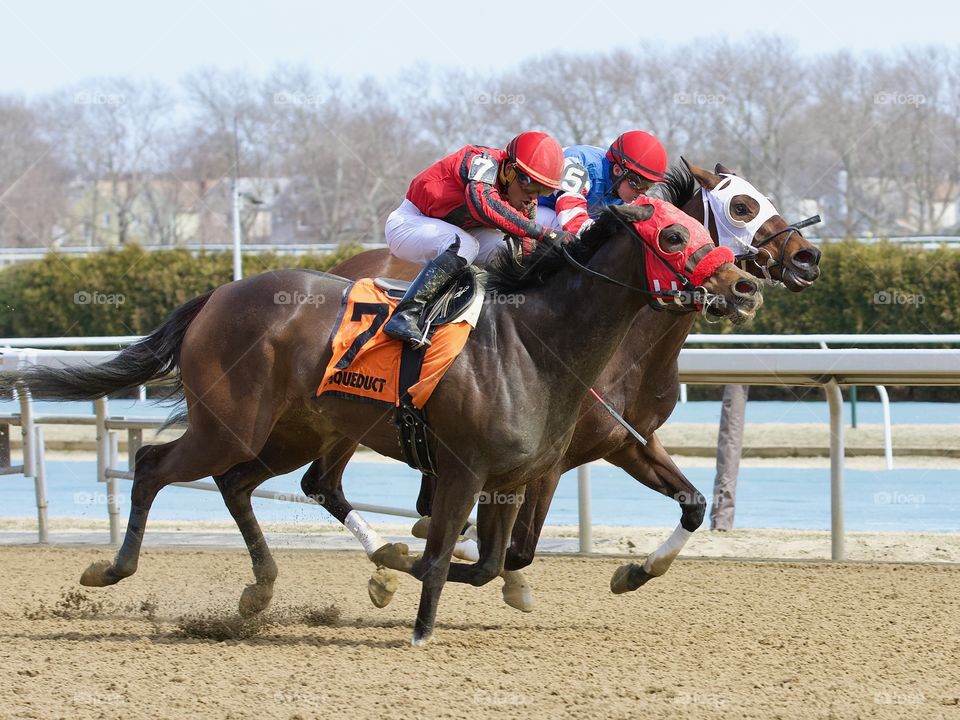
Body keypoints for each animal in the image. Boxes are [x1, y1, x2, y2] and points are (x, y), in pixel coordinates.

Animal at [5, 198, 756, 648]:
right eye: (674, 233)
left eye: (707, 228)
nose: (746, 284)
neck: (536, 343)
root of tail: (218, 293)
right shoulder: (463, 471)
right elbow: (449, 555)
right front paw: (416, 616)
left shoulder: (514, 476)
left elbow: (486, 564)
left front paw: (397, 564)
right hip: (232, 424)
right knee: (153, 467)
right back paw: (111, 569)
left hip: (295, 430)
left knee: (244, 484)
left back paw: (260, 589)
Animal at [328, 160, 816, 612]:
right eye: (742, 207)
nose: (807, 257)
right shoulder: (547, 461)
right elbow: (515, 549)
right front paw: (459, 549)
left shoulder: (628, 441)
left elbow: (693, 505)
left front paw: (634, 571)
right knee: (328, 484)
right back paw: (386, 564)